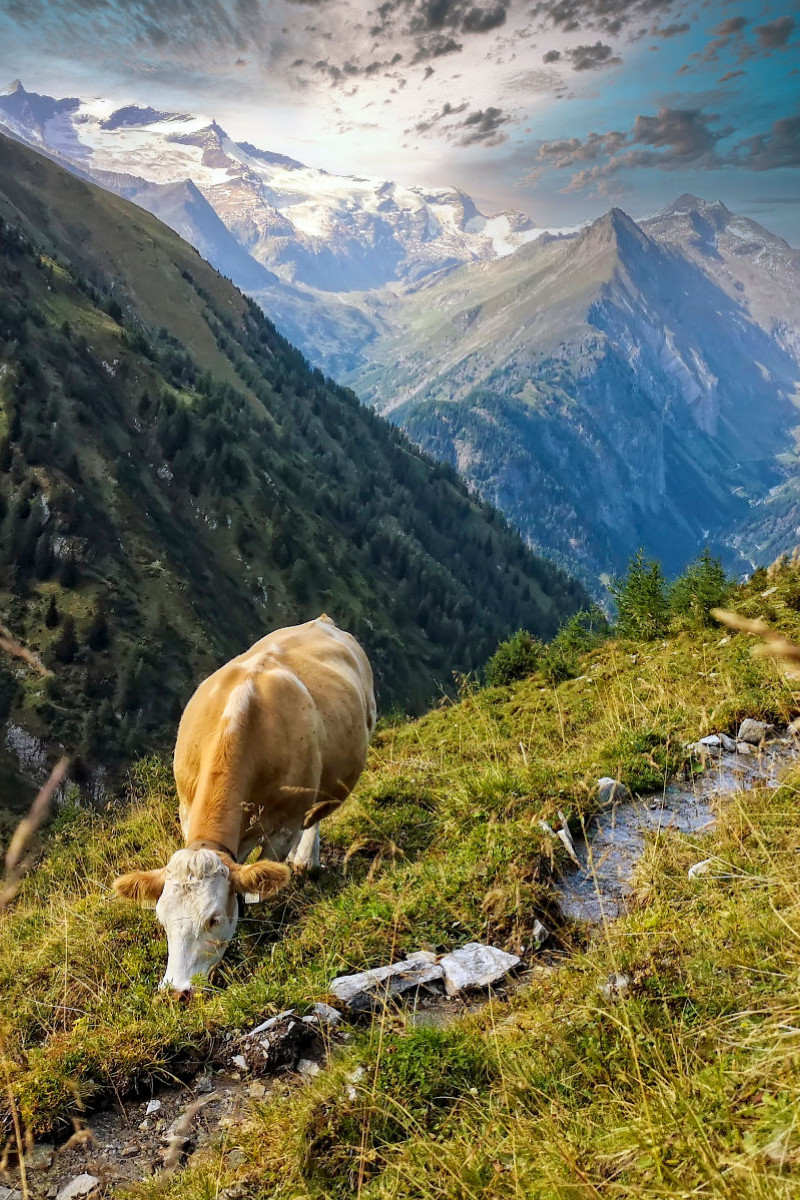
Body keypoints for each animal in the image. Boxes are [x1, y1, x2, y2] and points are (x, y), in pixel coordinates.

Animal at [112, 614, 376, 998]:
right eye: (162, 919)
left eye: (213, 919)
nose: (176, 991)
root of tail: (322, 621)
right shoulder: (187, 811)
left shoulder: (284, 824)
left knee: (315, 816)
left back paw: (306, 860)